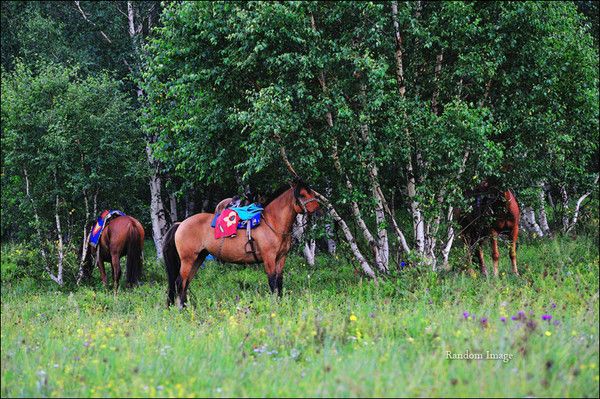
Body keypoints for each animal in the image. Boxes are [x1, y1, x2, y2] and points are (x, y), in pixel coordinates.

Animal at [159, 180, 318, 308]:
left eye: (309, 191)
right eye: (302, 194)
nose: (317, 208)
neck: (272, 222)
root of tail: (181, 224)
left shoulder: (281, 257)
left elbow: (279, 281)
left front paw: (280, 303)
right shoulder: (269, 258)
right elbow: (272, 282)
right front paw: (275, 306)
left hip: (198, 258)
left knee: (186, 282)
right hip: (187, 259)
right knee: (179, 282)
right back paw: (181, 309)